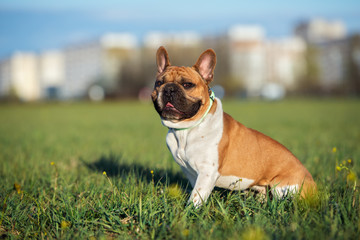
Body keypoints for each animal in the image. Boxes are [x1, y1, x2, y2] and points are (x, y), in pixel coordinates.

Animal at [151, 46, 316, 206]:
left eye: (187, 84)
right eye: (158, 83)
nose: (169, 89)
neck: (186, 129)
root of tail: (314, 186)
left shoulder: (207, 172)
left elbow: (196, 196)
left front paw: (190, 210)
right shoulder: (190, 172)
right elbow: (195, 190)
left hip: (280, 186)